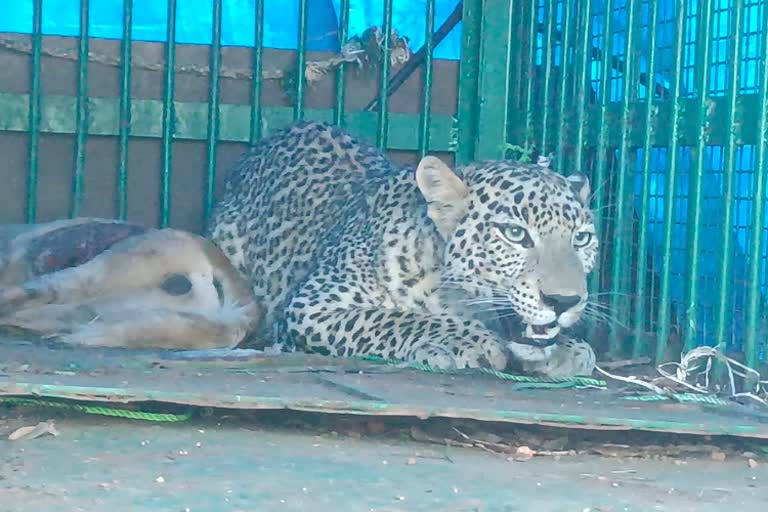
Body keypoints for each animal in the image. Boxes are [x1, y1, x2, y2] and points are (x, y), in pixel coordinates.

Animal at [210, 119, 600, 376]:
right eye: (515, 234)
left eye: (582, 239)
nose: (563, 301)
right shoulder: (313, 306)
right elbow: (392, 318)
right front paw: (468, 340)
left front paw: (570, 348)